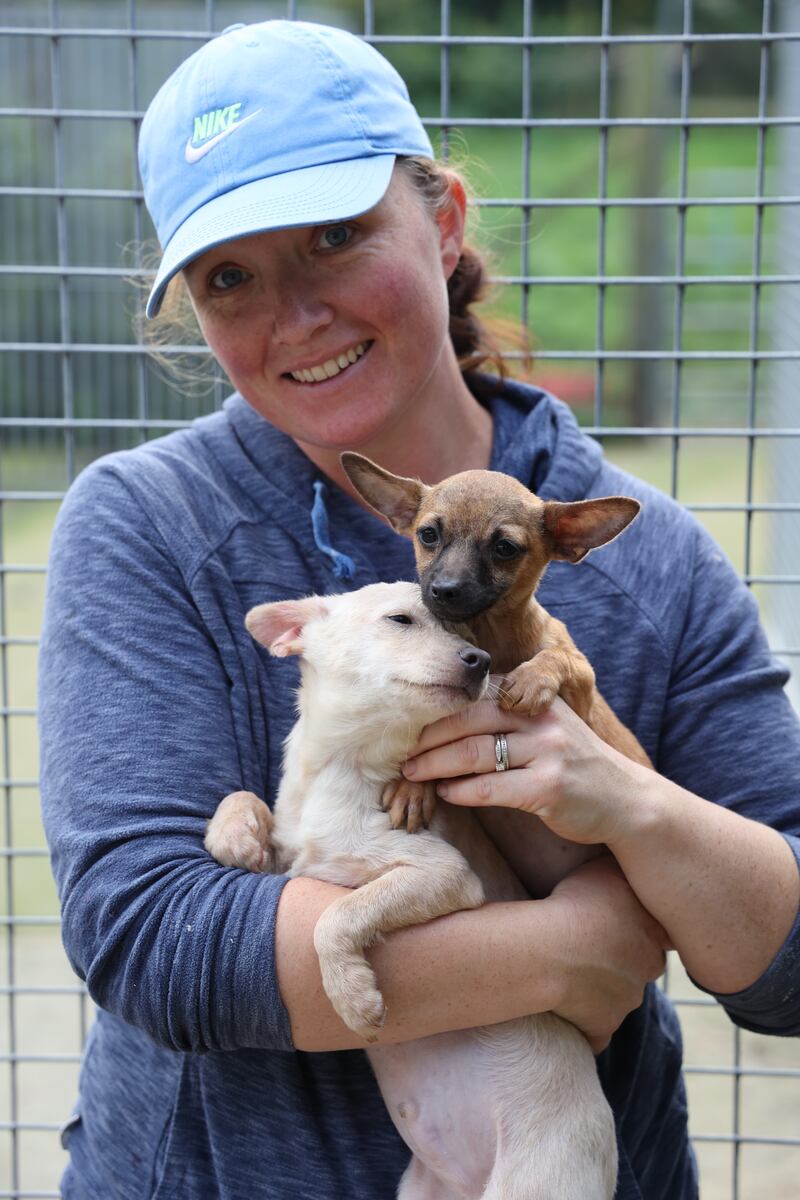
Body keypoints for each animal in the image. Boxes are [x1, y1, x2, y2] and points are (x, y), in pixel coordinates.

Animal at [203, 576, 618, 1195]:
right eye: (401, 620)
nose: (480, 661)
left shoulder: (443, 873)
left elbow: (338, 915)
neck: (342, 769)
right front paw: (234, 835)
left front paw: (353, 997)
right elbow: (248, 801)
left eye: (470, 637)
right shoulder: (294, 858)